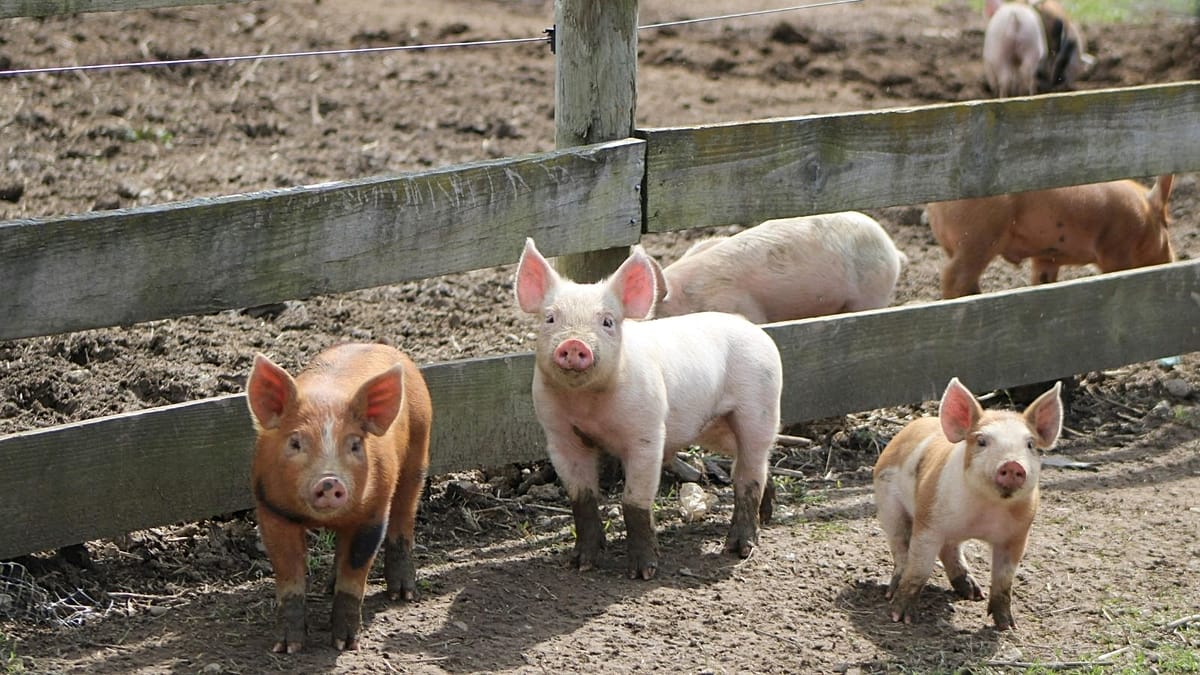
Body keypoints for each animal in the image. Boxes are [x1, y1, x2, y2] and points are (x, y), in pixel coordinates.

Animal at [245, 343, 432, 653]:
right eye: (295, 442)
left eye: (355, 444)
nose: (330, 480)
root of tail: (383, 346)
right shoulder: (271, 509)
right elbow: (289, 573)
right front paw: (287, 648)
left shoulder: (373, 513)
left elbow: (354, 572)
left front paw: (345, 645)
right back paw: (328, 587)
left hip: (419, 448)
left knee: (404, 514)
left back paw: (402, 595)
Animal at [514, 238, 782, 579]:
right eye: (550, 318)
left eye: (607, 321)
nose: (574, 344)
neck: (589, 406)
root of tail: (755, 330)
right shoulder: (560, 436)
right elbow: (582, 499)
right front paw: (580, 564)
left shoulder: (647, 432)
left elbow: (634, 501)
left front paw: (642, 574)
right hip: (714, 427)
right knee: (752, 463)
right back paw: (767, 517)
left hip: (759, 405)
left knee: (750, 470)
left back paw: (739, 549)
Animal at [873, 377, 1063, 630]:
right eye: (982, 441)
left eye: (1030, 444)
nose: (1012, 464)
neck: (984, 512)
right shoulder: (928, 522)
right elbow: (919, 569)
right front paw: (901, 618)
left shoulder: (1017, 535)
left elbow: (1004, 580)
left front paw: (1007, 626)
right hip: (888, 504)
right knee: (901, 549)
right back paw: (891, 592)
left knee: (950, 550)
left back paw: (974, 593)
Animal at [927, 175, 1175, 298]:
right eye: (1167, 224)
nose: (1173, 259)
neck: (1144, 213)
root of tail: (934, 205)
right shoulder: (1116, 247)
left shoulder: (1046, 257)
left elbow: (1042, 280)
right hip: (979, 237)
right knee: (953, 277)